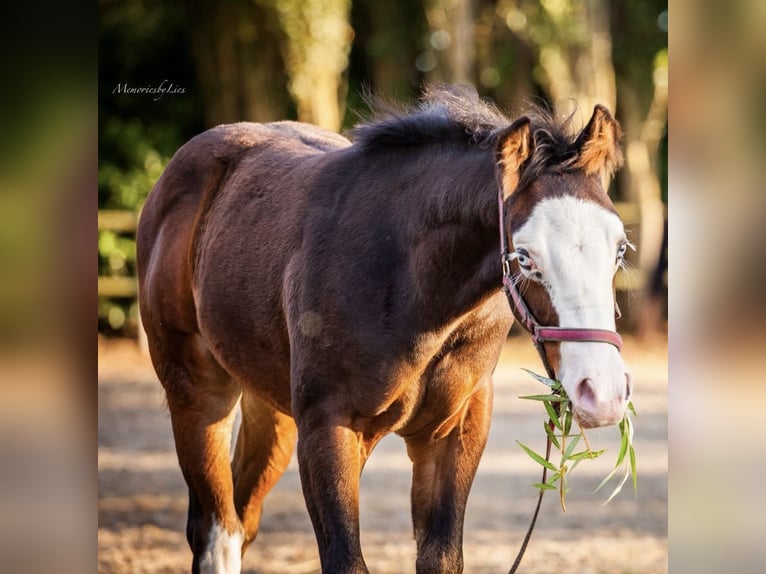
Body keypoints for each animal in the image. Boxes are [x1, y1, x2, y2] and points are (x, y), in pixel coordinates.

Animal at [136, 84, 631, 574]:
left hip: (271, 409)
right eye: (525, 256)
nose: (602, 394)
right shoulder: (328, 428)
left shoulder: (454, 431)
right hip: (198, 393)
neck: (416, 289)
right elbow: (346, 560)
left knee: (243, 519)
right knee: (217, 534)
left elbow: (441, 558)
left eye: (621, 248)